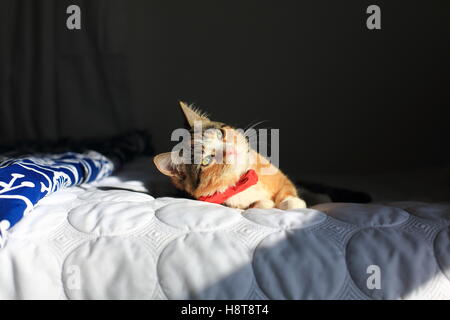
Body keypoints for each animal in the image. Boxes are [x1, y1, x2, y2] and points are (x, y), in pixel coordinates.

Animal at [154, 100, 306, 210]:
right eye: (206, 160)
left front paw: (292, 203)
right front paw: (262, 203)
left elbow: (286, 186)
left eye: (220, 134)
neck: (242, 179)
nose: (230, 150)